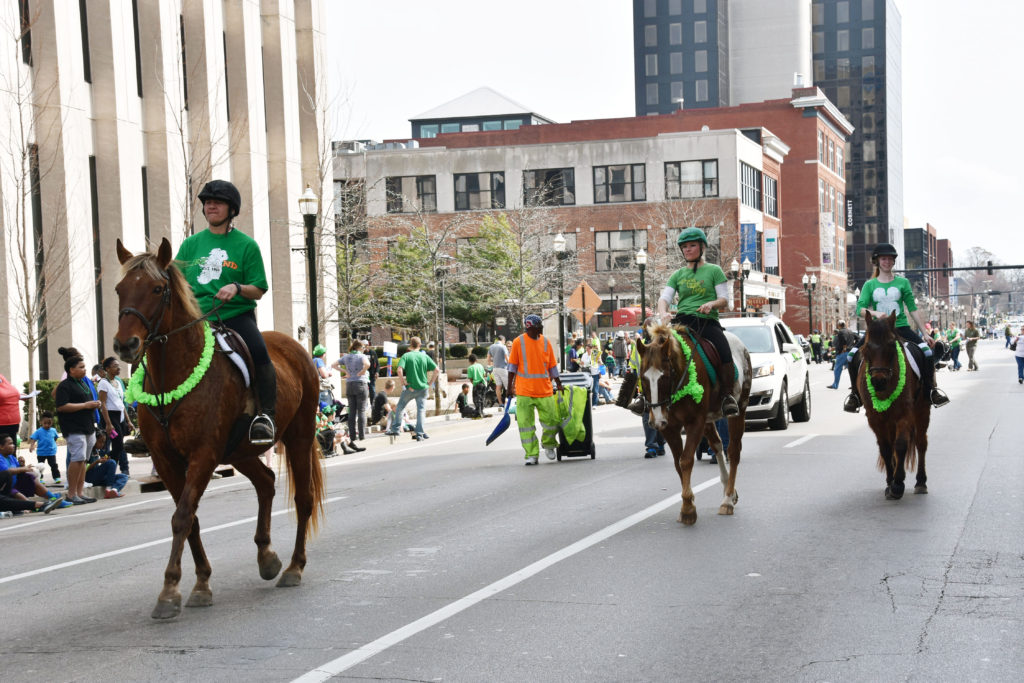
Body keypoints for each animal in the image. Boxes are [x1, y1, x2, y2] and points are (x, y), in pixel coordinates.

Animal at [111, 239, 323, 618]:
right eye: (120, 289)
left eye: (157, 288)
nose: (126, 345)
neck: (174, 376)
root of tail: (298, 348)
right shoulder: (167, 461)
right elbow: (189, 518)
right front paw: (200, 582)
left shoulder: (203, 455)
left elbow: (182, 516)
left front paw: (170, 591)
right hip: (239, 451)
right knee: (266, 482)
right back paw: (267, 557)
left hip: (297, 435)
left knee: (303, 498)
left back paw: (293, 567)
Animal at [638, 323, 753, 528]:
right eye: (643, 378)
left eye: (664, 377)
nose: (656, 420)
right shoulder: (670, 428)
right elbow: (678, 463)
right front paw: (689, 503)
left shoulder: (695, 422)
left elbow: (686, 460)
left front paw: (688, 509)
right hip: (708, 420)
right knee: (717, 445)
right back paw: (728, 491)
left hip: (740, 409)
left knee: (733, 451)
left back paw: (727, 500)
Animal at [856, 313, 929, 499]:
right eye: (866, 347)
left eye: (891, 345)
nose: (878, 381)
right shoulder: (875, 418)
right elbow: (886, 448)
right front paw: (891, 482)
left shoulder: (905, 414)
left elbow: (901, 444)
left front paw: (898, 482)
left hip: (922, 410)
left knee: (921, 443)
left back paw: (921, 482)